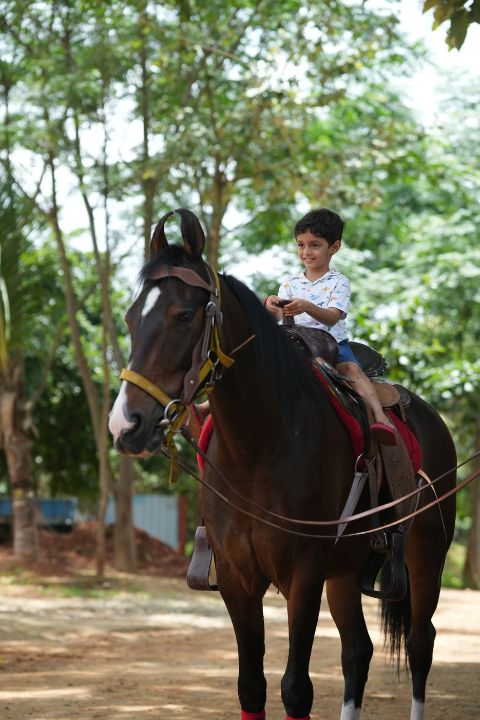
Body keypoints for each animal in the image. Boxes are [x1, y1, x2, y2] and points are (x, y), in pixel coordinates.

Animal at [109, 208, 456, 720]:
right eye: (132, 318)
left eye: (184, 315)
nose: (126, 423)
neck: (260, 448)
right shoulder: (237, 578)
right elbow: (251, 687)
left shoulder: (304, 574)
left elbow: (296, 689)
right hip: (345, 573)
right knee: (358, 652)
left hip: (425, 554)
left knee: (419, 643)